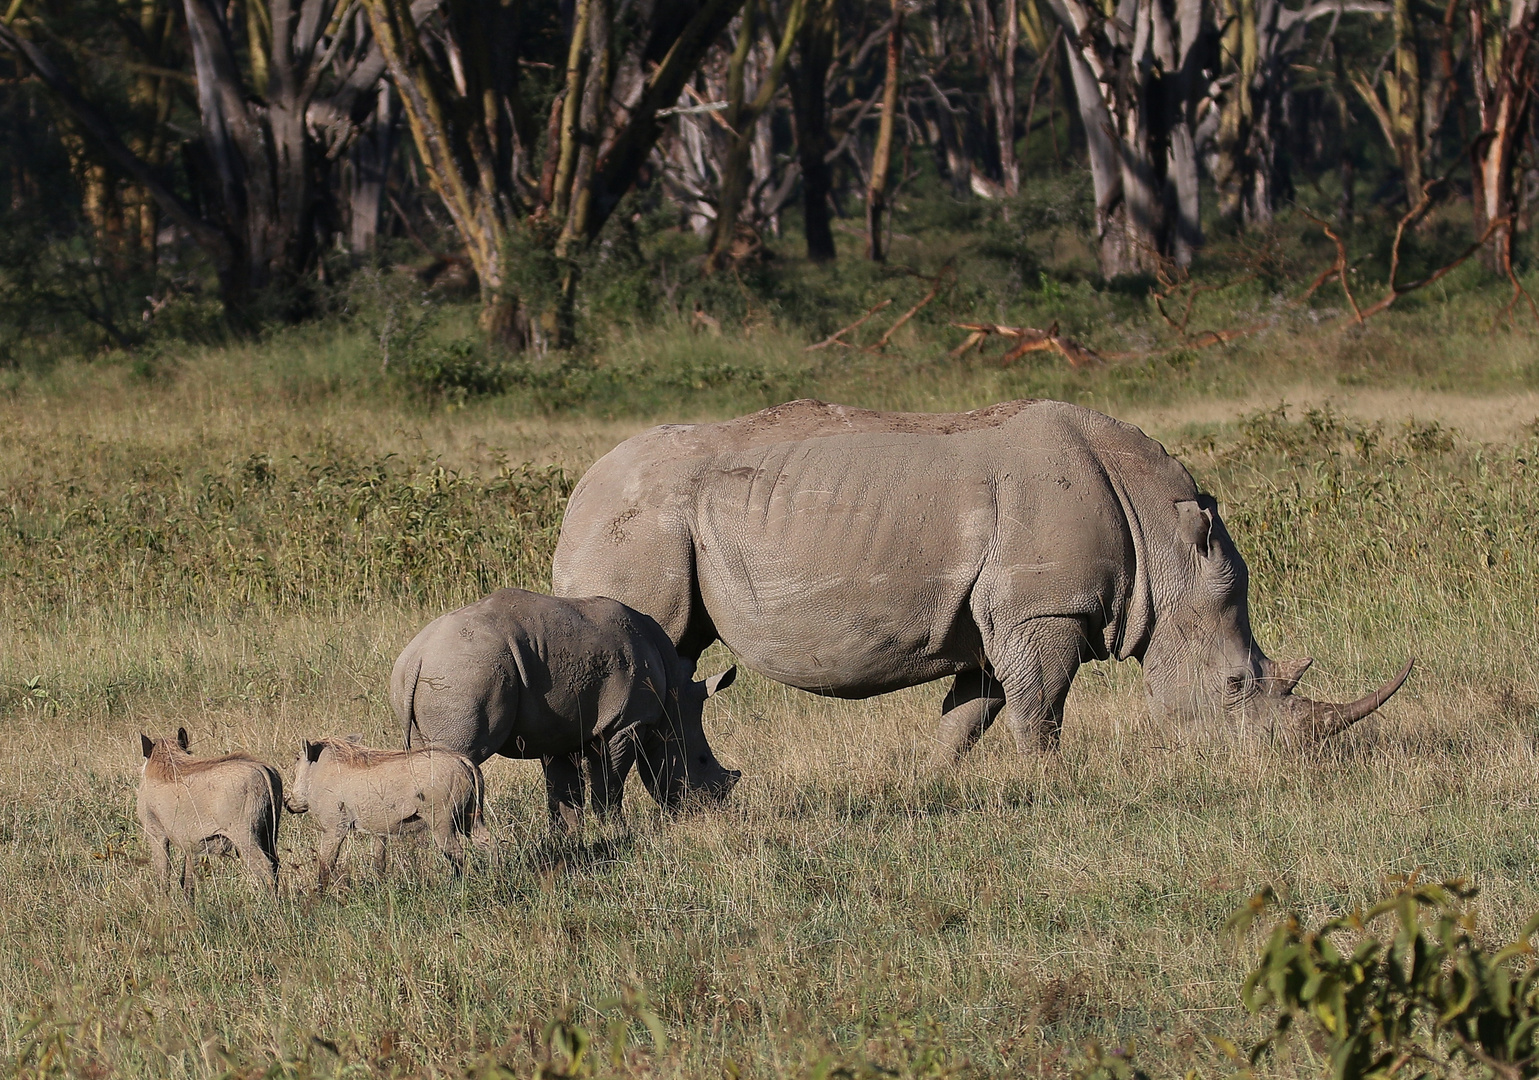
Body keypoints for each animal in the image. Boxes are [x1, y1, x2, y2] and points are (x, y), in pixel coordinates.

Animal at [136, 732, 284, 898]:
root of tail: (261, 768)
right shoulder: (191, 844)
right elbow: (187, 879)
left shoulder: (155, 833)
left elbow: (163, 874)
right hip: (269, 834)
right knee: (275, 863)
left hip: (245, 836)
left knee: (265, 866)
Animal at [284, 741, 486, 892]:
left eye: (297, 759)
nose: (287, 803)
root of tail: (461, 759)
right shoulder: (379, 831)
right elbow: (379, 862)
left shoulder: (334, 828)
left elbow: (326, 864)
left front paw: (319, 901)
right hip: (471, 818)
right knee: (486, 843)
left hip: (442, 822)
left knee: (456, 853)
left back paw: (455, 889)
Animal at [390, 590, 738, 836]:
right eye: (702, 760)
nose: (708, 814)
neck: (673, 700)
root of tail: (416, 658)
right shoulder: (625, 724)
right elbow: (609, 784)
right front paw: (618, 832)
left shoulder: (560, 730)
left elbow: (564, 788)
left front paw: (570, 839)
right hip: (463, 673)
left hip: (447, 673)